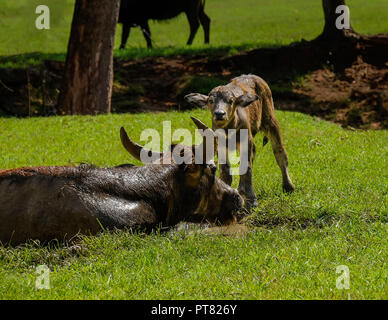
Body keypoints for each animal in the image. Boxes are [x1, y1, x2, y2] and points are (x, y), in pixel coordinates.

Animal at [186, 74, 296, 208]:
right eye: (211, 101)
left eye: (231, 101)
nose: (219, 114)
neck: (229, 130)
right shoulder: (221, 145)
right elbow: (225, 171)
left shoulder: (246, 141)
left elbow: (246, 167)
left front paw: (251, 199)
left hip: (271, 120)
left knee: (280, 152)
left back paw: (288, 186)